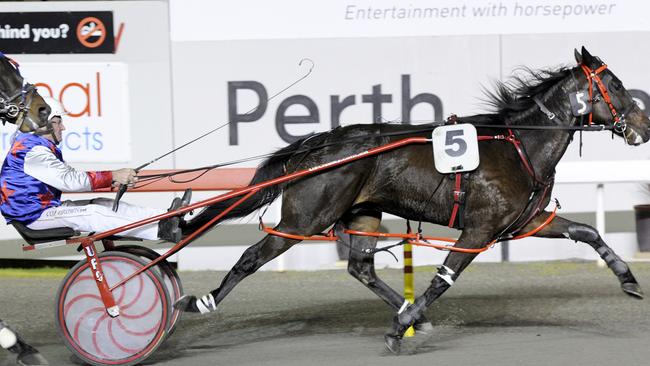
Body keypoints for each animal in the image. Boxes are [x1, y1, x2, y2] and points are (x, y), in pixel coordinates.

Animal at [175, 47, 644, 350]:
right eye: (617, 84)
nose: (645, 125)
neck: (517, 145)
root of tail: (315, 145)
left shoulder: (525, 220)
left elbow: (587, 231)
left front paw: (629, 279)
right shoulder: (479, 229)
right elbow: (443, 279)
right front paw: (399, 330)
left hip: (362, 212)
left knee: (360, 267)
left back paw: (403, 308)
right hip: (305, 218)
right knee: (251, 257)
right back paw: (200, 302)